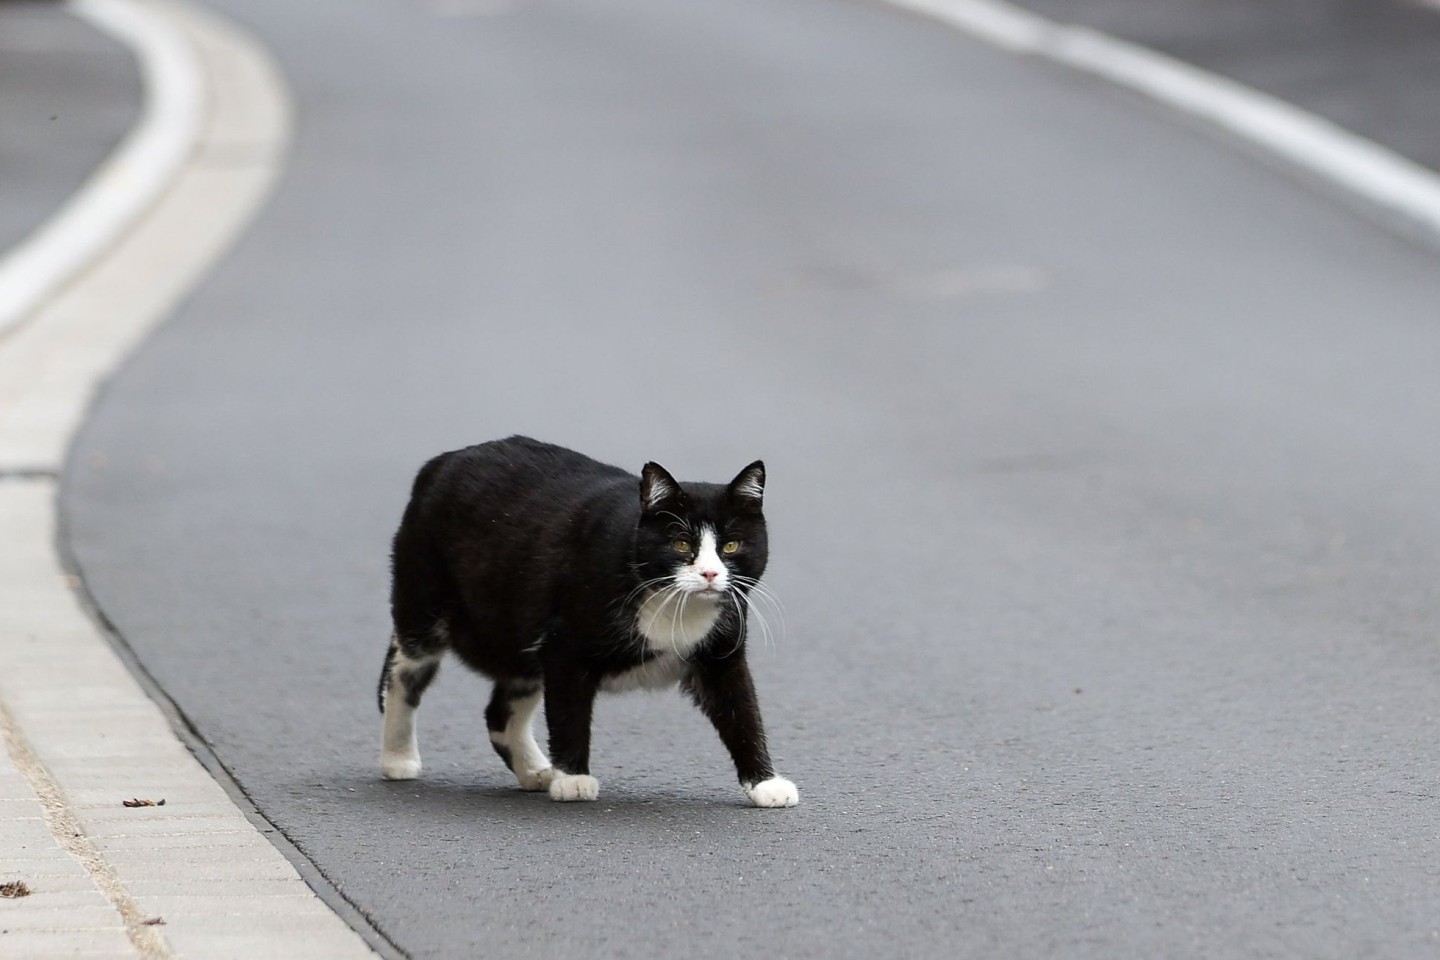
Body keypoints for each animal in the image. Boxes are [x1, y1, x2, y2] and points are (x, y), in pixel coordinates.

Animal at [377, 440, 800, 805]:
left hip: (518, 632)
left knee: (500, 710)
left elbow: (742, 711)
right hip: (426, 601)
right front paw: (573, 779)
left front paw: (766, 784)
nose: (710, 574)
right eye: (681, 543)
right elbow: (569, 712)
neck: (672, 607)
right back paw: (398, 759)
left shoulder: (720, 654)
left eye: (731, 545)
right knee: (403, 673)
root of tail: (443, 460)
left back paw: (535, 771)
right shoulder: (564, 646)